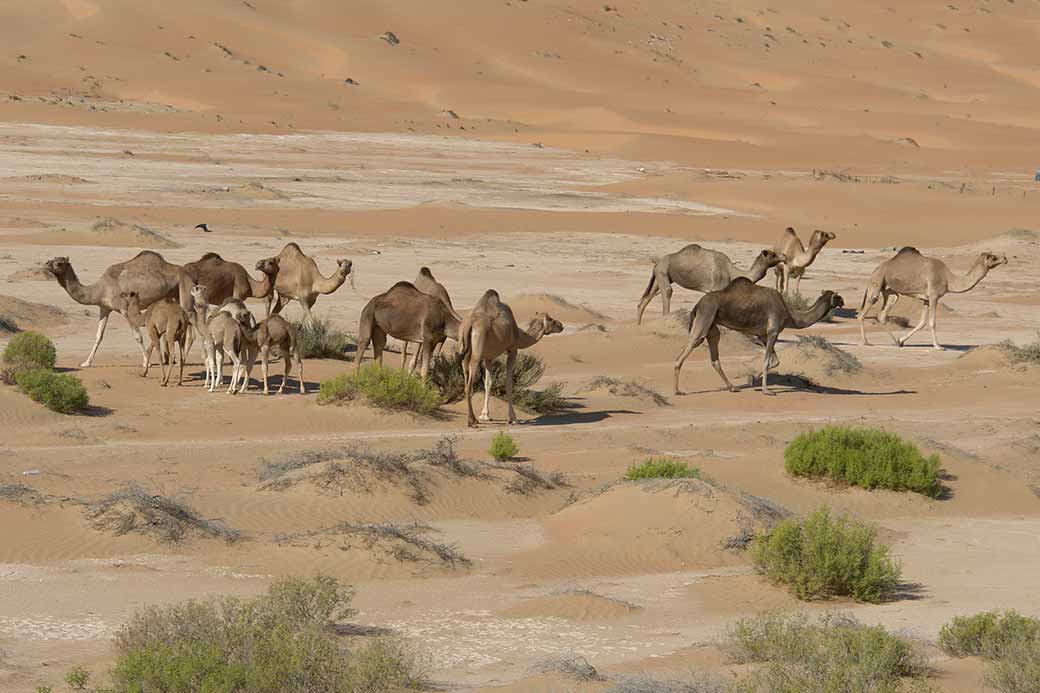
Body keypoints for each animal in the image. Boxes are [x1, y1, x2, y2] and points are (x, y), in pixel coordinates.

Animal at [43, 249, 194, 366]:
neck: (100, 289)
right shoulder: (104, 308)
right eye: (52, 259)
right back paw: (175, 359)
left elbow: (138, 336)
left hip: (185, 287)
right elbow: (98, 336)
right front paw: (86, 362)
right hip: (174, 295)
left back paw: (182, 360)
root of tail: (187, 272)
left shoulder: (125, 309)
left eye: (59, 263)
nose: (45, 264)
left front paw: (147, 362)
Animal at [461, 287, 561, 426]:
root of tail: (470, 324)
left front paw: (485, 415)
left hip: (464, 349)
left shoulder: (488, 357)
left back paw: (474, 418)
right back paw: (472, 421)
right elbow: (508, 382)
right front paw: (513, 418)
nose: (561, 325)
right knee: (469, 382)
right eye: (551, 319)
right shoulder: (512, 350)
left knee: (465, 372)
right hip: (477, 349)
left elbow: (488, 382)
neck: (519, 335)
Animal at [632, 245, 782, 324]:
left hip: (661, 275)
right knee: (667, 292)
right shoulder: (715, 287)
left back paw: (638, 325)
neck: (731, 272)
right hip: (663, 271)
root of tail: (657, 263)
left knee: (647, 297)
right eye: (773, 255)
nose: (784, 257)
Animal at [673, 274, 844, 393]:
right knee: (688, 348)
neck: (789, 315)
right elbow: (767, 360)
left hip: (712, 326)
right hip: (706, 316)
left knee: (714, 356)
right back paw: (677, 391)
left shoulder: (762, 335)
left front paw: (752, 379)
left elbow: (775, 361)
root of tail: (697, 305)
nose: (843, 301)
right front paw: (766, 390)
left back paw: (733, 387)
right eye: (837, 296)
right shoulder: (773, 331)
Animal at [856, 245, 1002, 347]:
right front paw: (938, 346)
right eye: (994, 257)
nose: (1005, 258)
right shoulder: (933, 296)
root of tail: (875, 270)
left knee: (882, 314)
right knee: (863, 312)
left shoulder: (925, 299)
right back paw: (866, 342)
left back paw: (895, 341)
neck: (948, 279)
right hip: (876, 283)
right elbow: (932, 322)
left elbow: (922, 322)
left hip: (890, 291)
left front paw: (901, 340)